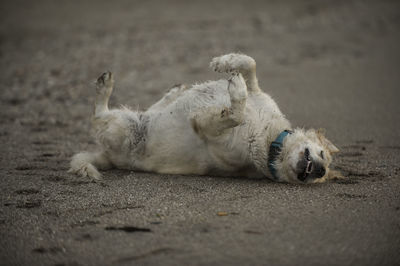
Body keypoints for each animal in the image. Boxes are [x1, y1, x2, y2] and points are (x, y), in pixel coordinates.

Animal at [69, 53, 340, 184]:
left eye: (321, 175)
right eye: (322, 154)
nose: (318, 169)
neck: (271, 139)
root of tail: (107, 157)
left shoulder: (207, 129)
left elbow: (233, 114)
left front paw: (235, 92)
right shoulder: (259, 94)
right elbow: (250, 65)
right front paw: (225, 62)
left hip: (123, 126)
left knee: (97, 116)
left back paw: (105, 88)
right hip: (138, 119)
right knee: (153, 107)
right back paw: (174, 90)